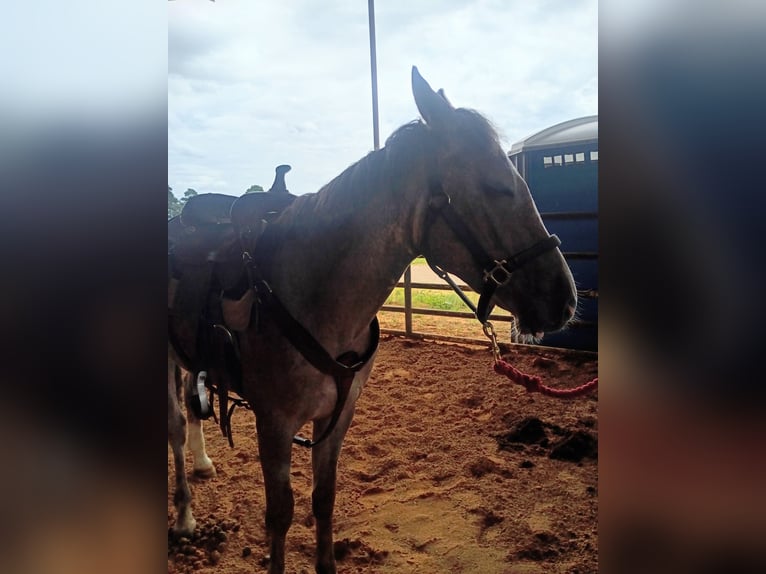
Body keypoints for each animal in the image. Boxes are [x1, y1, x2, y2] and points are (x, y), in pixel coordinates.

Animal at [168, 66, 577, 574]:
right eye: (498, 185)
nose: (565, 300)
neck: (311, 292)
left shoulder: (337, 418)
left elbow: (323, 500)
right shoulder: (275, 425)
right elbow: (280, 515)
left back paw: (204, 462)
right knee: (174, 426)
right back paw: (185, 516)